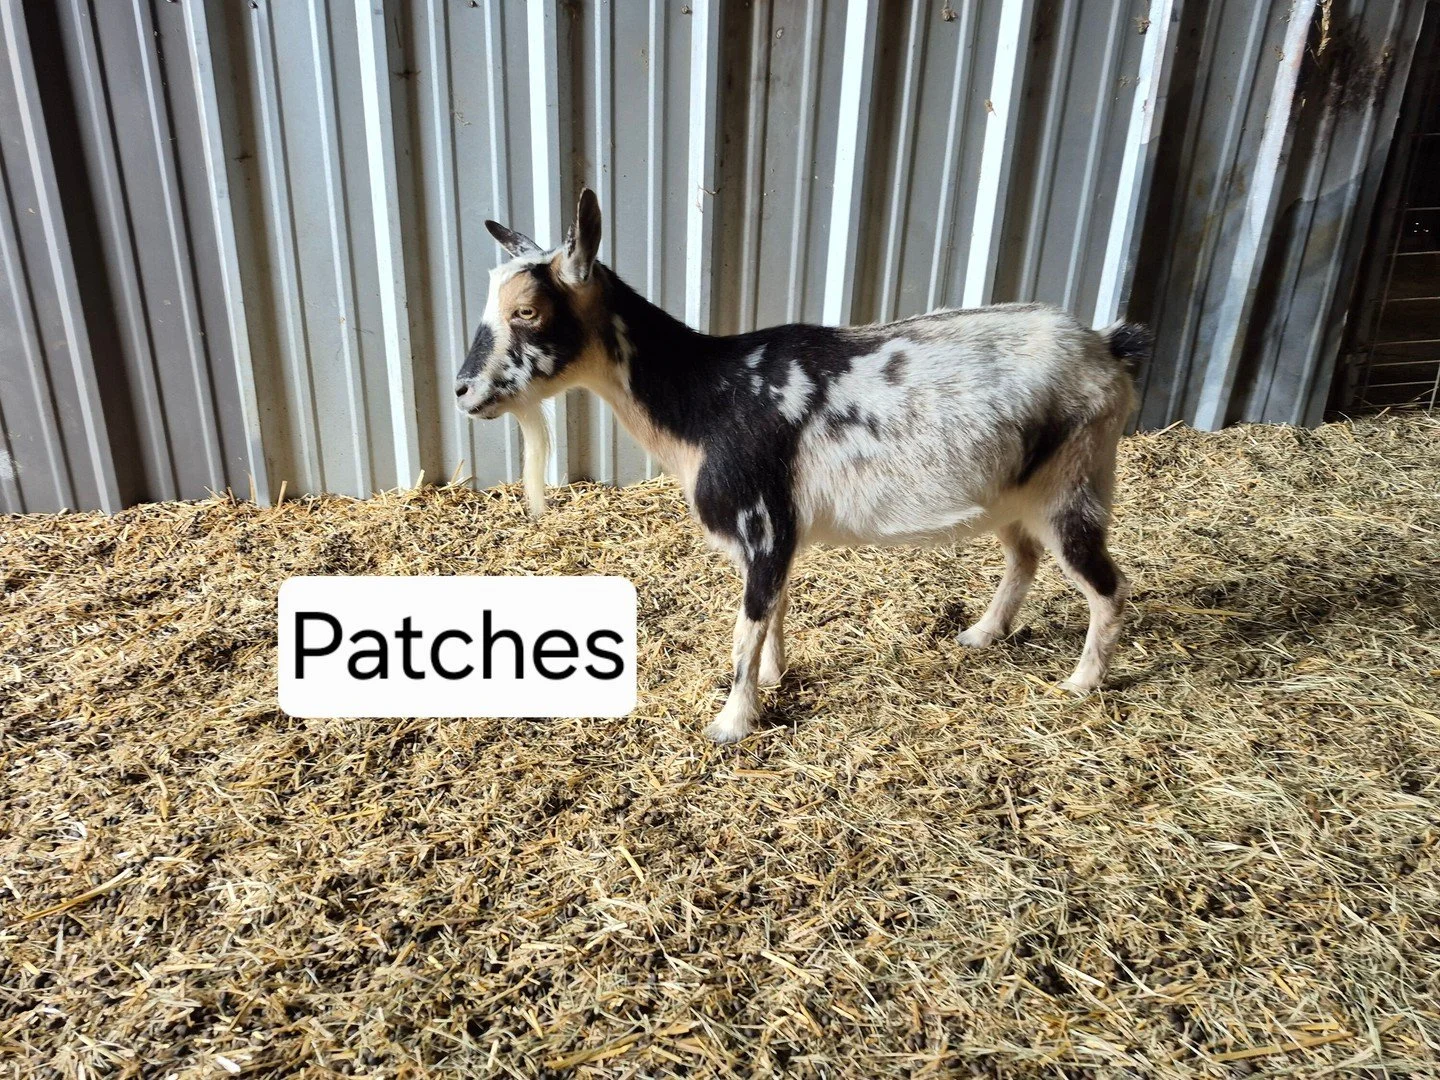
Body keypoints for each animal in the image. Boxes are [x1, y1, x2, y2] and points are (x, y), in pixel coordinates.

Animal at [456, 190, 1148, 743]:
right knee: (1023, 556)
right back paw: (983, 635)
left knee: (1108, 587)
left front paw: (732, 723)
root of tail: (1107, 346)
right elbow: (775, 611)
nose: (463, 390)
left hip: (1074, 486)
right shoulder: (774, 536)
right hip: (1015, 492)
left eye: (526, 311)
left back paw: (1081, 685)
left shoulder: (764, 523)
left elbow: (747, 625)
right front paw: (775, 677)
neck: (708, 397)